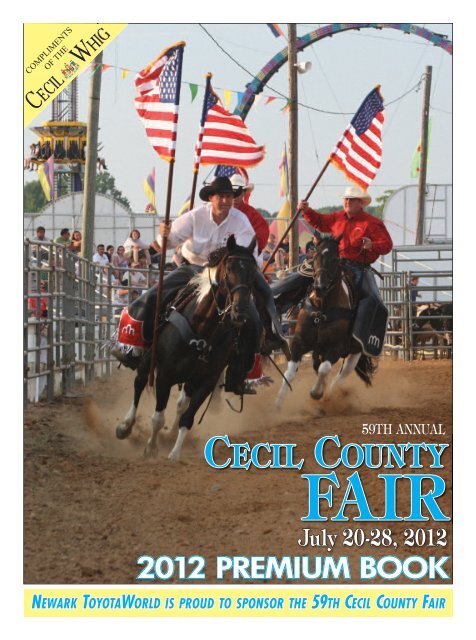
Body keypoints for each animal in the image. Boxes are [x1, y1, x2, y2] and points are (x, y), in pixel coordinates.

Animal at [276, 235, 376, 410]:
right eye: (315, 257)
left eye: (335, 259)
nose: (320, 287)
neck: (322, 309)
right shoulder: (298, 341)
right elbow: (290, 372)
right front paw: (278, 404)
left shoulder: (336, 347)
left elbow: (325, 369)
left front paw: (316, 393)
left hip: (355, 352)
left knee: (340, 376)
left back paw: (331, 394)